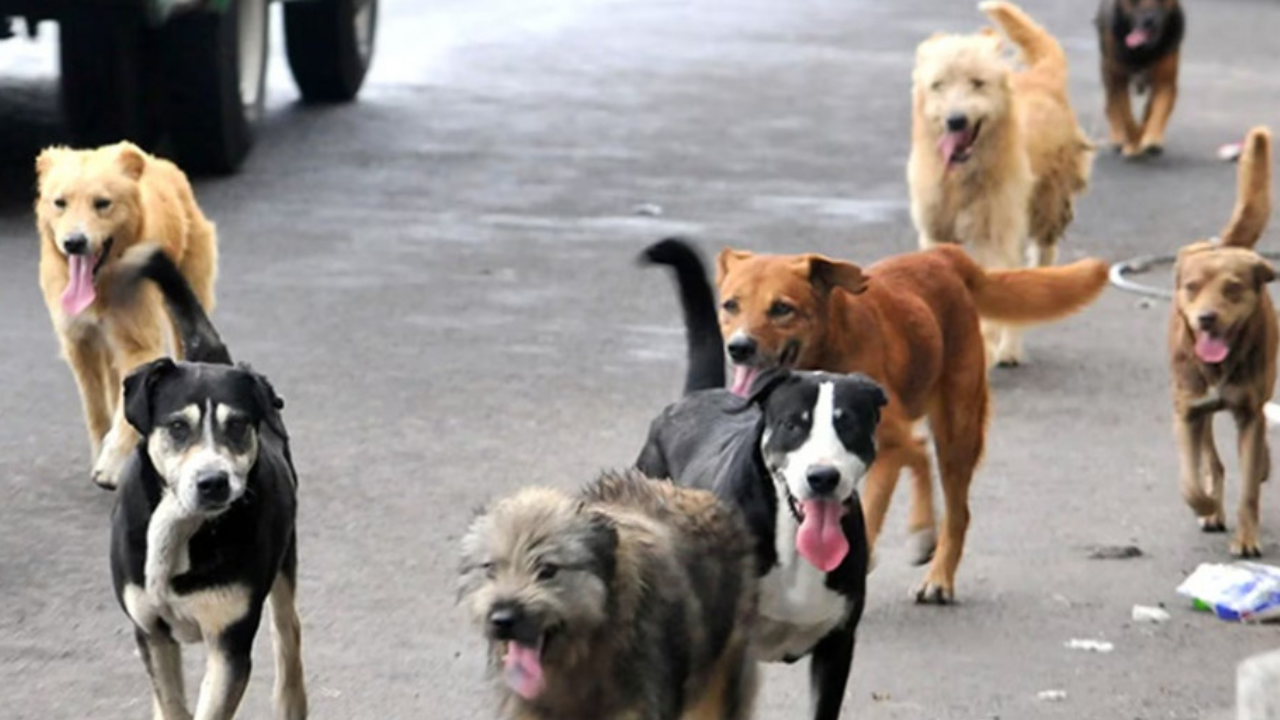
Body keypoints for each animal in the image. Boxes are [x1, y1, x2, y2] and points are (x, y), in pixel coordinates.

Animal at [33, 141, 217, 486]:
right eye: (60, 203)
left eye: (102, 203)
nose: (74, 242)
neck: (100, 285)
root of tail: (159, 162)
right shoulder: (80, 344)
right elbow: (96, 409)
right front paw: (101, 449)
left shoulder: (137, 344)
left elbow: (126, 411)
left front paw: (112, 461)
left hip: (184, 299)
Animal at [110, 244, 307, 717]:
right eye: (178, 427)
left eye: (237, 425)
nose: (213, 482)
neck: (181, 527)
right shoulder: (151, 633)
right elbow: (170, 703)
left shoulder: (229, 641)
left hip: (284, 571)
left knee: (288, 638)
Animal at [906, 1, 1095, 363]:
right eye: (939, 85)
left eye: (977, 83)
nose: (955, 120)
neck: (964, 176)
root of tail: (1044, 78)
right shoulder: (936, 231)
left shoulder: (994, 238)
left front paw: (991, 344)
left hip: (1047, 211)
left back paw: (1009, 349)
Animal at [1095, 0, 1182, 156]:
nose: (1149, 21)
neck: (1143, 50)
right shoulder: (1118, 80)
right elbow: (1126, 115)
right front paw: (1134, 143)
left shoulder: (1165, 82)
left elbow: (1158, 109)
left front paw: (1151, 137)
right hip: (1107, 69)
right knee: (1111, 104)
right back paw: (1118, 135)